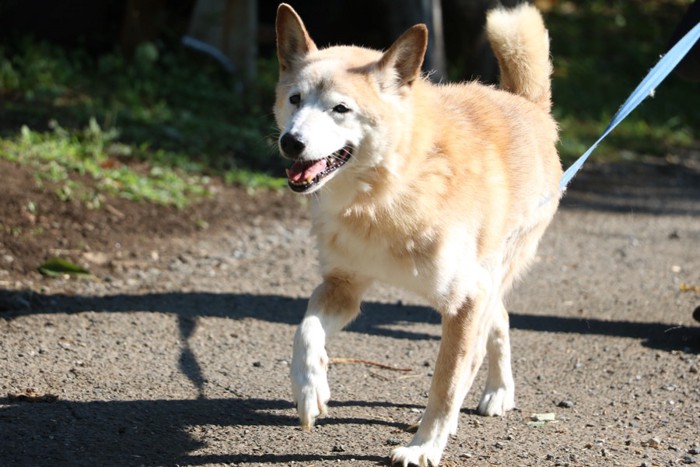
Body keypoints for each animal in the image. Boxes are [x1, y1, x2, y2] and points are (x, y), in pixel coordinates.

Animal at [274, 2, 564, 464]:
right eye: (295, 99)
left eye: (340, 109)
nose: (291, 142)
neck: (383, 196)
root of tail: (525, 103)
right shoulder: (342, 286)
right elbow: (305, 332)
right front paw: (310, 389)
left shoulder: (465, 301)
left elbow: (445, 387)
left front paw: (425, 446)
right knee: (499, 318)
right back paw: (497, 391)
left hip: (495, 269)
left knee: (489, 331)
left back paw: (496, 391)